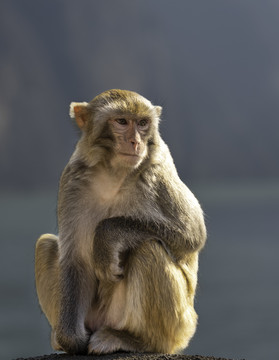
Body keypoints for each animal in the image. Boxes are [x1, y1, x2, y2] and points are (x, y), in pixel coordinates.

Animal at [35, 89, 207, 354]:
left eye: (143, 123)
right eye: (122, 121)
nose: (136, 142)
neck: (113, 173)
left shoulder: (158, 174)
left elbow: (192, 234)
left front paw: (106, 238)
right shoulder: (72, 180)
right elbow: (74, 260)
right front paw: (71, 341)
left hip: (179, 326)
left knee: (148, 248)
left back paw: (138, 341)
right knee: (45, 244)